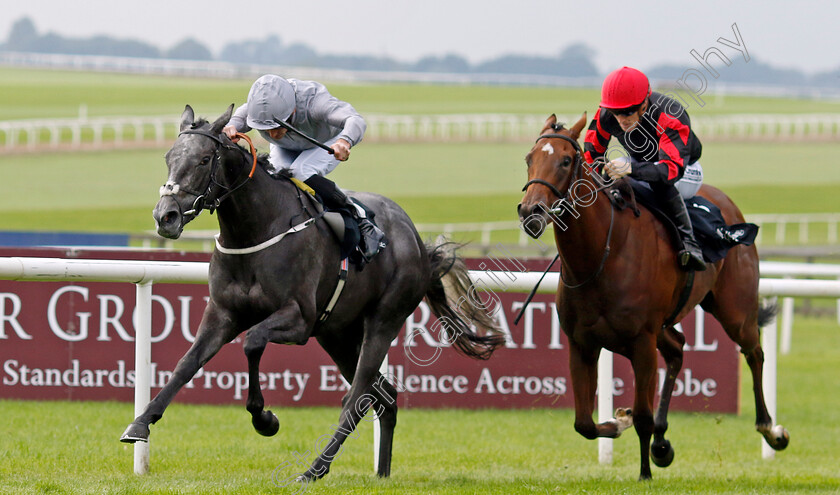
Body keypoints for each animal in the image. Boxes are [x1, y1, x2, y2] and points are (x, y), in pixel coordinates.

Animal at [520, 115, 788, 480]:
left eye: (564, 160)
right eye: (529, 158)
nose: (530, 212)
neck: (601, 257)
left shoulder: (641, 342)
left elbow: (642, 417)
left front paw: (644, 473)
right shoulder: (581, 343)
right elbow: (584, 423)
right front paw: (620, 421)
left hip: (735, 310)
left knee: (754, 352)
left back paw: (770, 429)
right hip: (664, 325)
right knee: (677, 350)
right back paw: (662, 442)